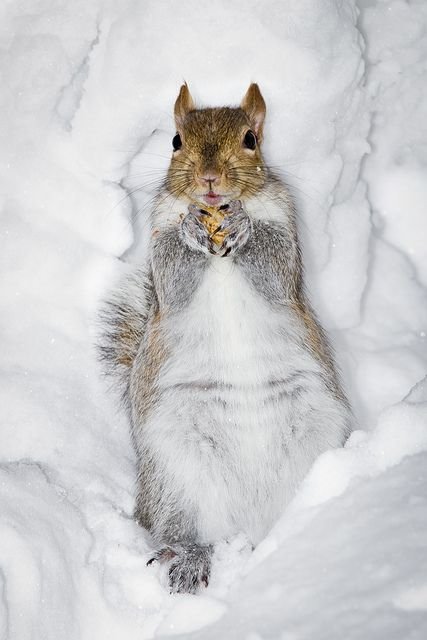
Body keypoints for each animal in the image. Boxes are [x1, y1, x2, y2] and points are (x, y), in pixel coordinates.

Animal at [98, 84, 352, 596]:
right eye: (176, 141)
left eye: (251, 139)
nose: (210, 180)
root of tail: (249, 527)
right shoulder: (160, 246)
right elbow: (173, 270)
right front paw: (190, 230)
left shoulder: (286, 230)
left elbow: (273, 262)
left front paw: (245, 228)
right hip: (176, 472)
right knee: (181, 526)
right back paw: (189, 557)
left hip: (317, 439)